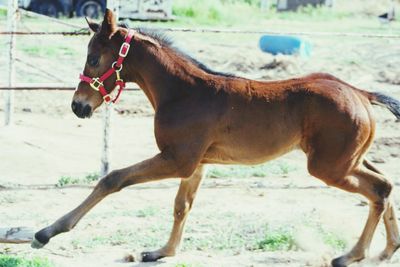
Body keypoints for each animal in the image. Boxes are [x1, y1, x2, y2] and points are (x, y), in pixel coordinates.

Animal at [32, 9, 400, 266]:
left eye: (94, 58)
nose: (78, 106)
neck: (183, 92)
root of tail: (361, 93)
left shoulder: (178, 159)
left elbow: (113, 179)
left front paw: (47, 232)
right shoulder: (197, 164)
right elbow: (182, 205)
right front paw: (162, 251)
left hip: (329, 166)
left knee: (378, 190)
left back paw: (351, 255)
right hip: (349, 158)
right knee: (385, 185)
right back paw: (386, 251)